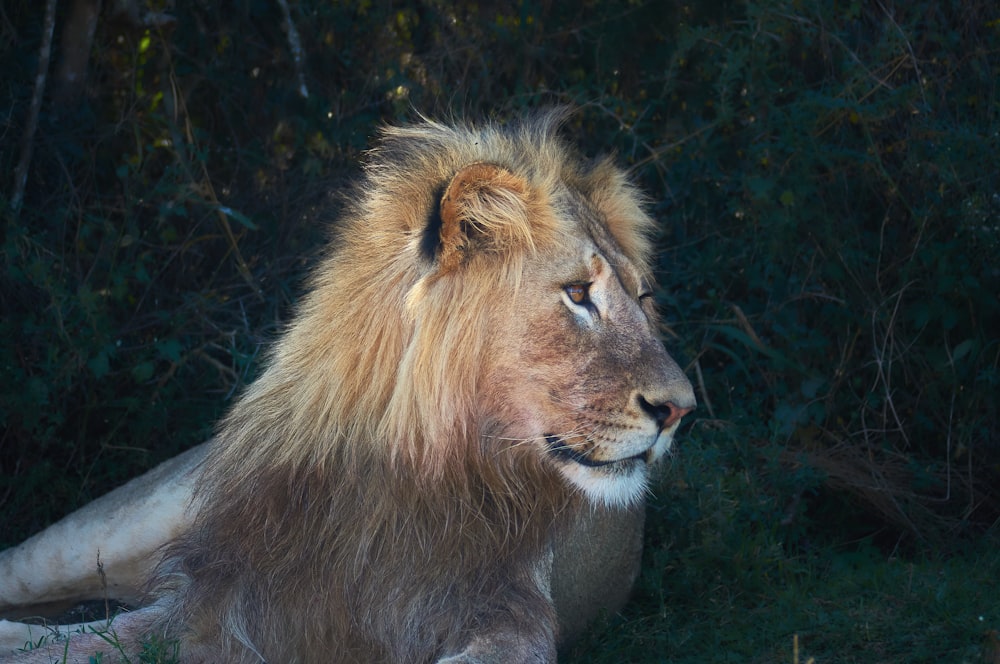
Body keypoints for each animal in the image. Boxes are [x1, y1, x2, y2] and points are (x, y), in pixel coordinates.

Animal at [0, 111, 696, 660]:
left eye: (643, 299)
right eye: (578, 294)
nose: (681, 410)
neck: (407, 474)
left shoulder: (508, 606)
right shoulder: (227, 595)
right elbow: (89, 644)